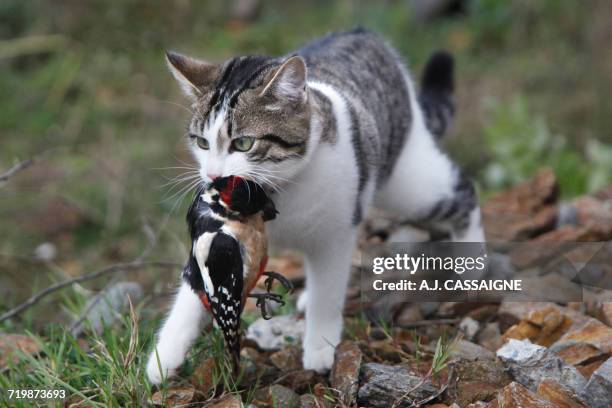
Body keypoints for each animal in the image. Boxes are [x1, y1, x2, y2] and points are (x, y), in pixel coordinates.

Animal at [147, 27, 482, 382]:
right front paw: (164, 356)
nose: (212, 174)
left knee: (463, 191)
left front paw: (321, 347)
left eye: (243, 143)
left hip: (408, 183)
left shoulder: (335, 235)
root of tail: (362, 33)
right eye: (202, 143)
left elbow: (327, 292)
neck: (273, 194)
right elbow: (193, 291)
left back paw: (473, 264)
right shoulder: (215, 239)